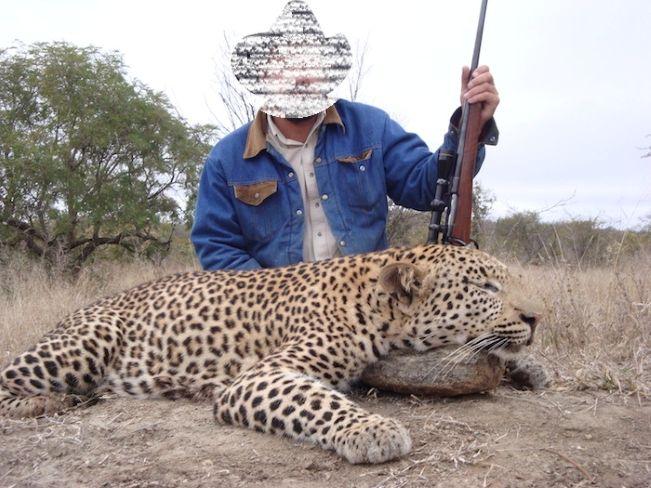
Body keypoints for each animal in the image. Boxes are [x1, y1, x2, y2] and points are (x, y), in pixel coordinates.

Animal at [0, 244, 546, 464]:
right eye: (486, 286)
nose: (537, 316)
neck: (376, 304)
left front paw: (531, 366)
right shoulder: (260, 375)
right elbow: (316, 400)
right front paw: (373, 430)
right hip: (86, 342)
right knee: (10, 378)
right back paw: (47, 402)